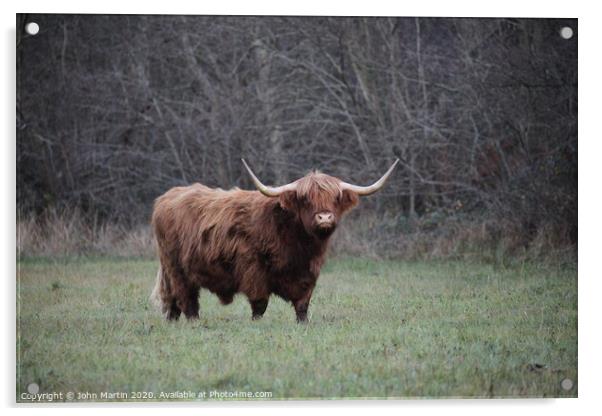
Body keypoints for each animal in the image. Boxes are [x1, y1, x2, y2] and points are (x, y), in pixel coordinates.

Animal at [150, 158, 396, 324]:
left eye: (336, 198)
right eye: (305, 199)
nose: (325, 217)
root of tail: (166, 197)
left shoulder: (308, 274)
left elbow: (303, 304)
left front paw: (303, 323)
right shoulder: (253, 271)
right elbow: (260, 304)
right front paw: (256, 324)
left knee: (172, 300)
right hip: (177, 268)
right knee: (186, 298)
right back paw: (194, 322)